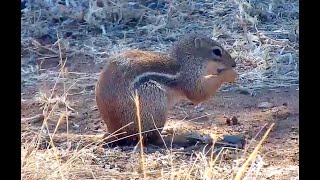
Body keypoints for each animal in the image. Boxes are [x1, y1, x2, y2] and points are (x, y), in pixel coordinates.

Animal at [95, 33, 238, 146]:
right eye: (217, 51)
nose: (234, 64)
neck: (186, 62)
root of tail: (115, 132)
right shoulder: (189, 78)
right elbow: (198, 93)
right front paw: (230, 74)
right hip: (154, 99)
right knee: (153, 139)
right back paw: (180, 138)